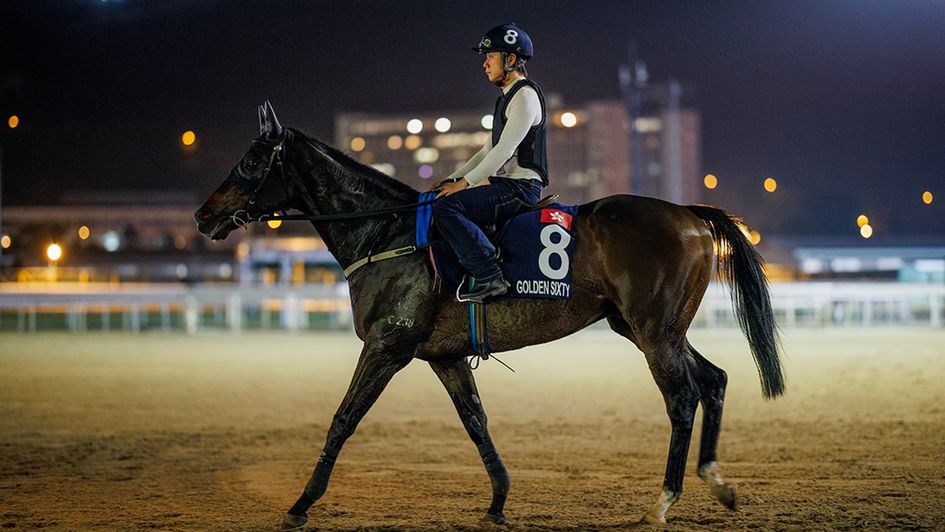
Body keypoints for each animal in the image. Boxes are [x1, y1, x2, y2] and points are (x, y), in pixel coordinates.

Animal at [194, 103, 780, 528]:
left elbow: (344, 419)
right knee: (714, 380)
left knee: (682, 398)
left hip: (654, 331)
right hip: (650, 328)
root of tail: (689, 215)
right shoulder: (444, 356)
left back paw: (663, 500)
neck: (388, 232)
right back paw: (718, 483)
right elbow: (475, 421)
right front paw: (498, 500)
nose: (203, 215)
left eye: (252, 161)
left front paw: (300, 504)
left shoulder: (387, 346)